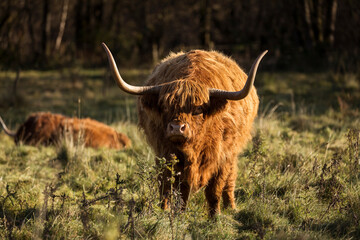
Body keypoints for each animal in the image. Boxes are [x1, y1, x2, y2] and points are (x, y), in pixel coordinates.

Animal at [102, 42, 266, 216]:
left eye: (198, 109)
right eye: (164, 107)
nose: (176, 128)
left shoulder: (222, 156)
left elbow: (214, 190)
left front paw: (215, 216)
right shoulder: (166, 154)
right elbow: (176, 188)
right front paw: (176, 214)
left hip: (232, 153)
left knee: (230, 179)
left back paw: (231, 207)